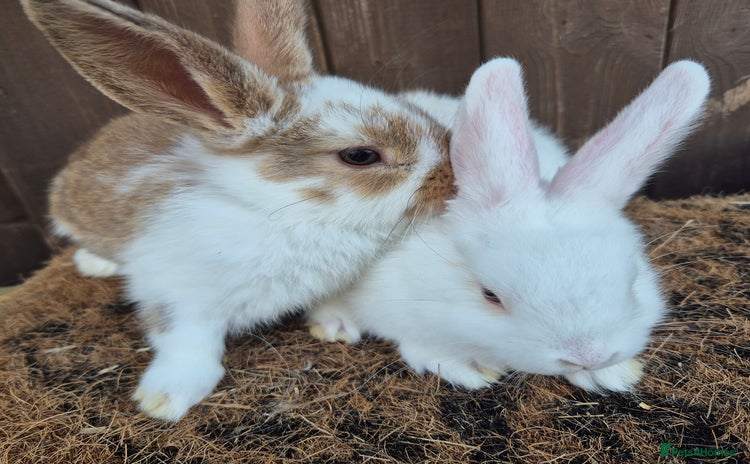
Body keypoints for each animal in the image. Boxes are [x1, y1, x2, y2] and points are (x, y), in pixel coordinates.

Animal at [21, 0, 456, 421]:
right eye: (361, 155)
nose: (452, 177)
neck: (284, 213)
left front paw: (335, 326)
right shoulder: (172, 293)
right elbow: (186, 342)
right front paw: (165, 399)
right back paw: (95, 263)